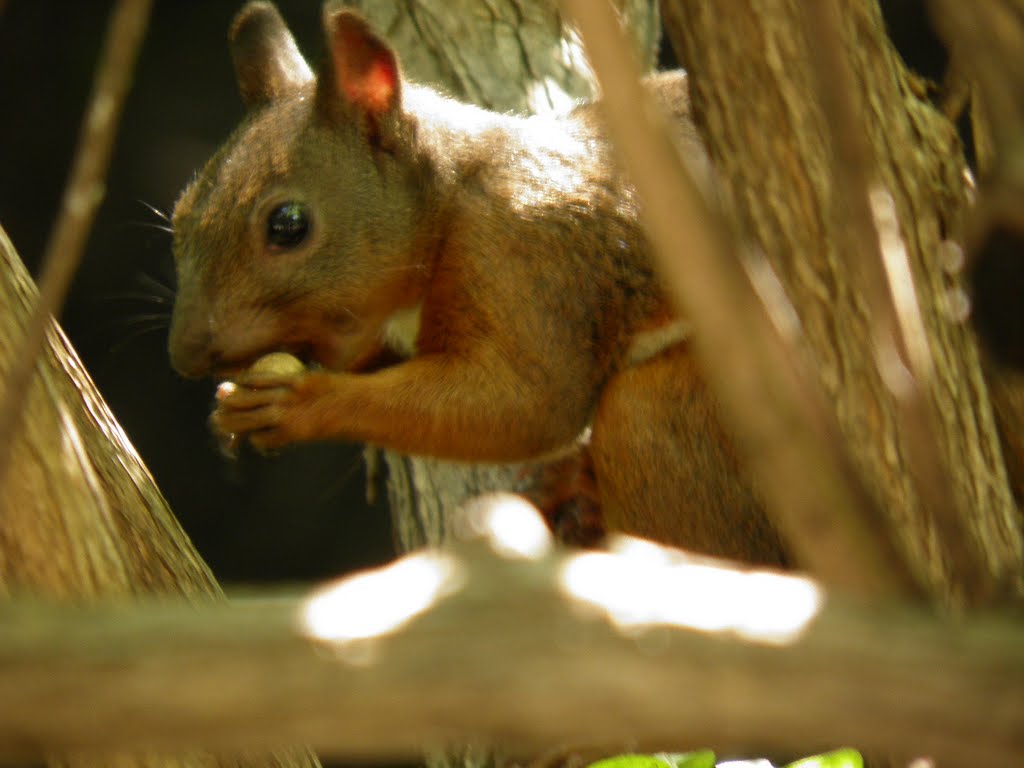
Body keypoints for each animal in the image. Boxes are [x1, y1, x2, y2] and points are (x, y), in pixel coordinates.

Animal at [172, 0, 786, 565]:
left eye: (288, 225)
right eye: (179, 214)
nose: (186, 356)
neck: (453, 197)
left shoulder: (526, 252)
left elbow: (525, 402)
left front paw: (298, 402)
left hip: (688, 415)